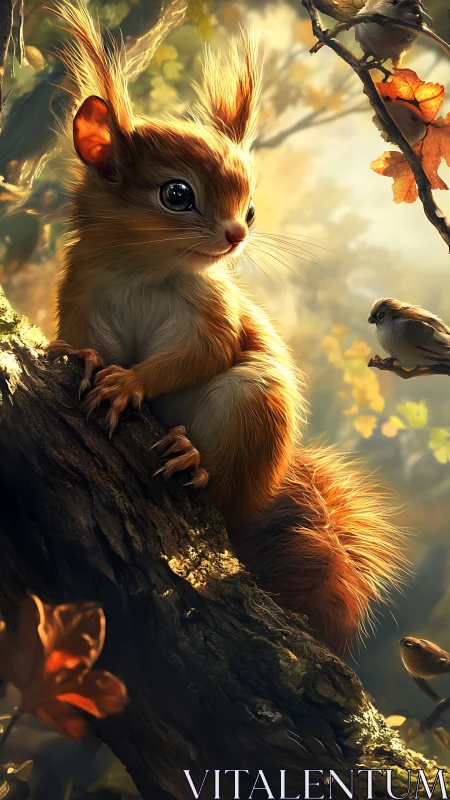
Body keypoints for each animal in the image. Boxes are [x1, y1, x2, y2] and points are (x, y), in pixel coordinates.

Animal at [47, 0, 407, 655]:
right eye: (176, 193)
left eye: (252, 209)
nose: (237, 235)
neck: (143, 266)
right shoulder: (82, 292)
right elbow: (88, 341)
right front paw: (84, 361)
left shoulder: (213, 313)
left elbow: (201, 354)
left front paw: (128, 384)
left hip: (252, 409)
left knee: (222, 486)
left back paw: (193, 459)